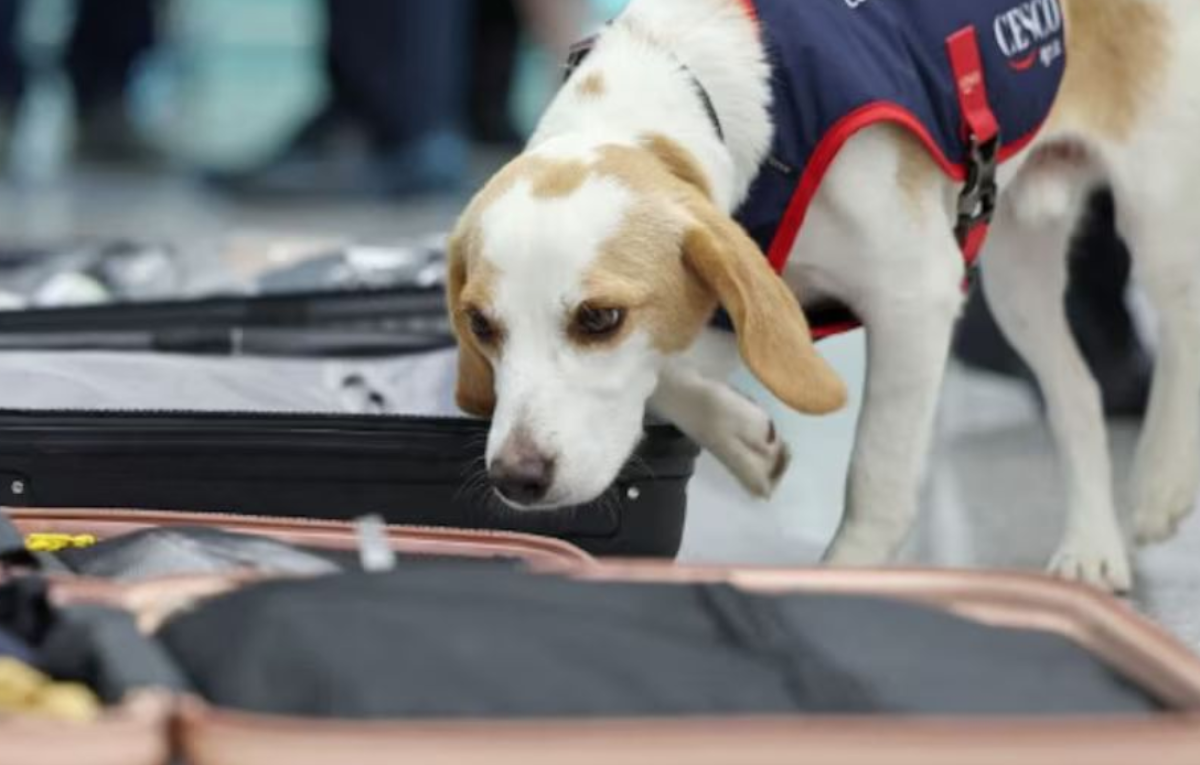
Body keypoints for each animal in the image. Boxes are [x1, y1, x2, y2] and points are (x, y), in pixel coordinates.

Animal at [448, 0, 1200, 594]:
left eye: (600, 318)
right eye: (481, 325)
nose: (515, 477)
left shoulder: (917, 295)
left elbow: (877, 476)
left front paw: (846, 573)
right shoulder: (735, 297)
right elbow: (671, 375)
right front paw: (743, 437)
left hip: (1157, 212)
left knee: (1181, 321)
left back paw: (1162, 483)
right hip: (1015, 271)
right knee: (1077, 392)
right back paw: (1093, 547)